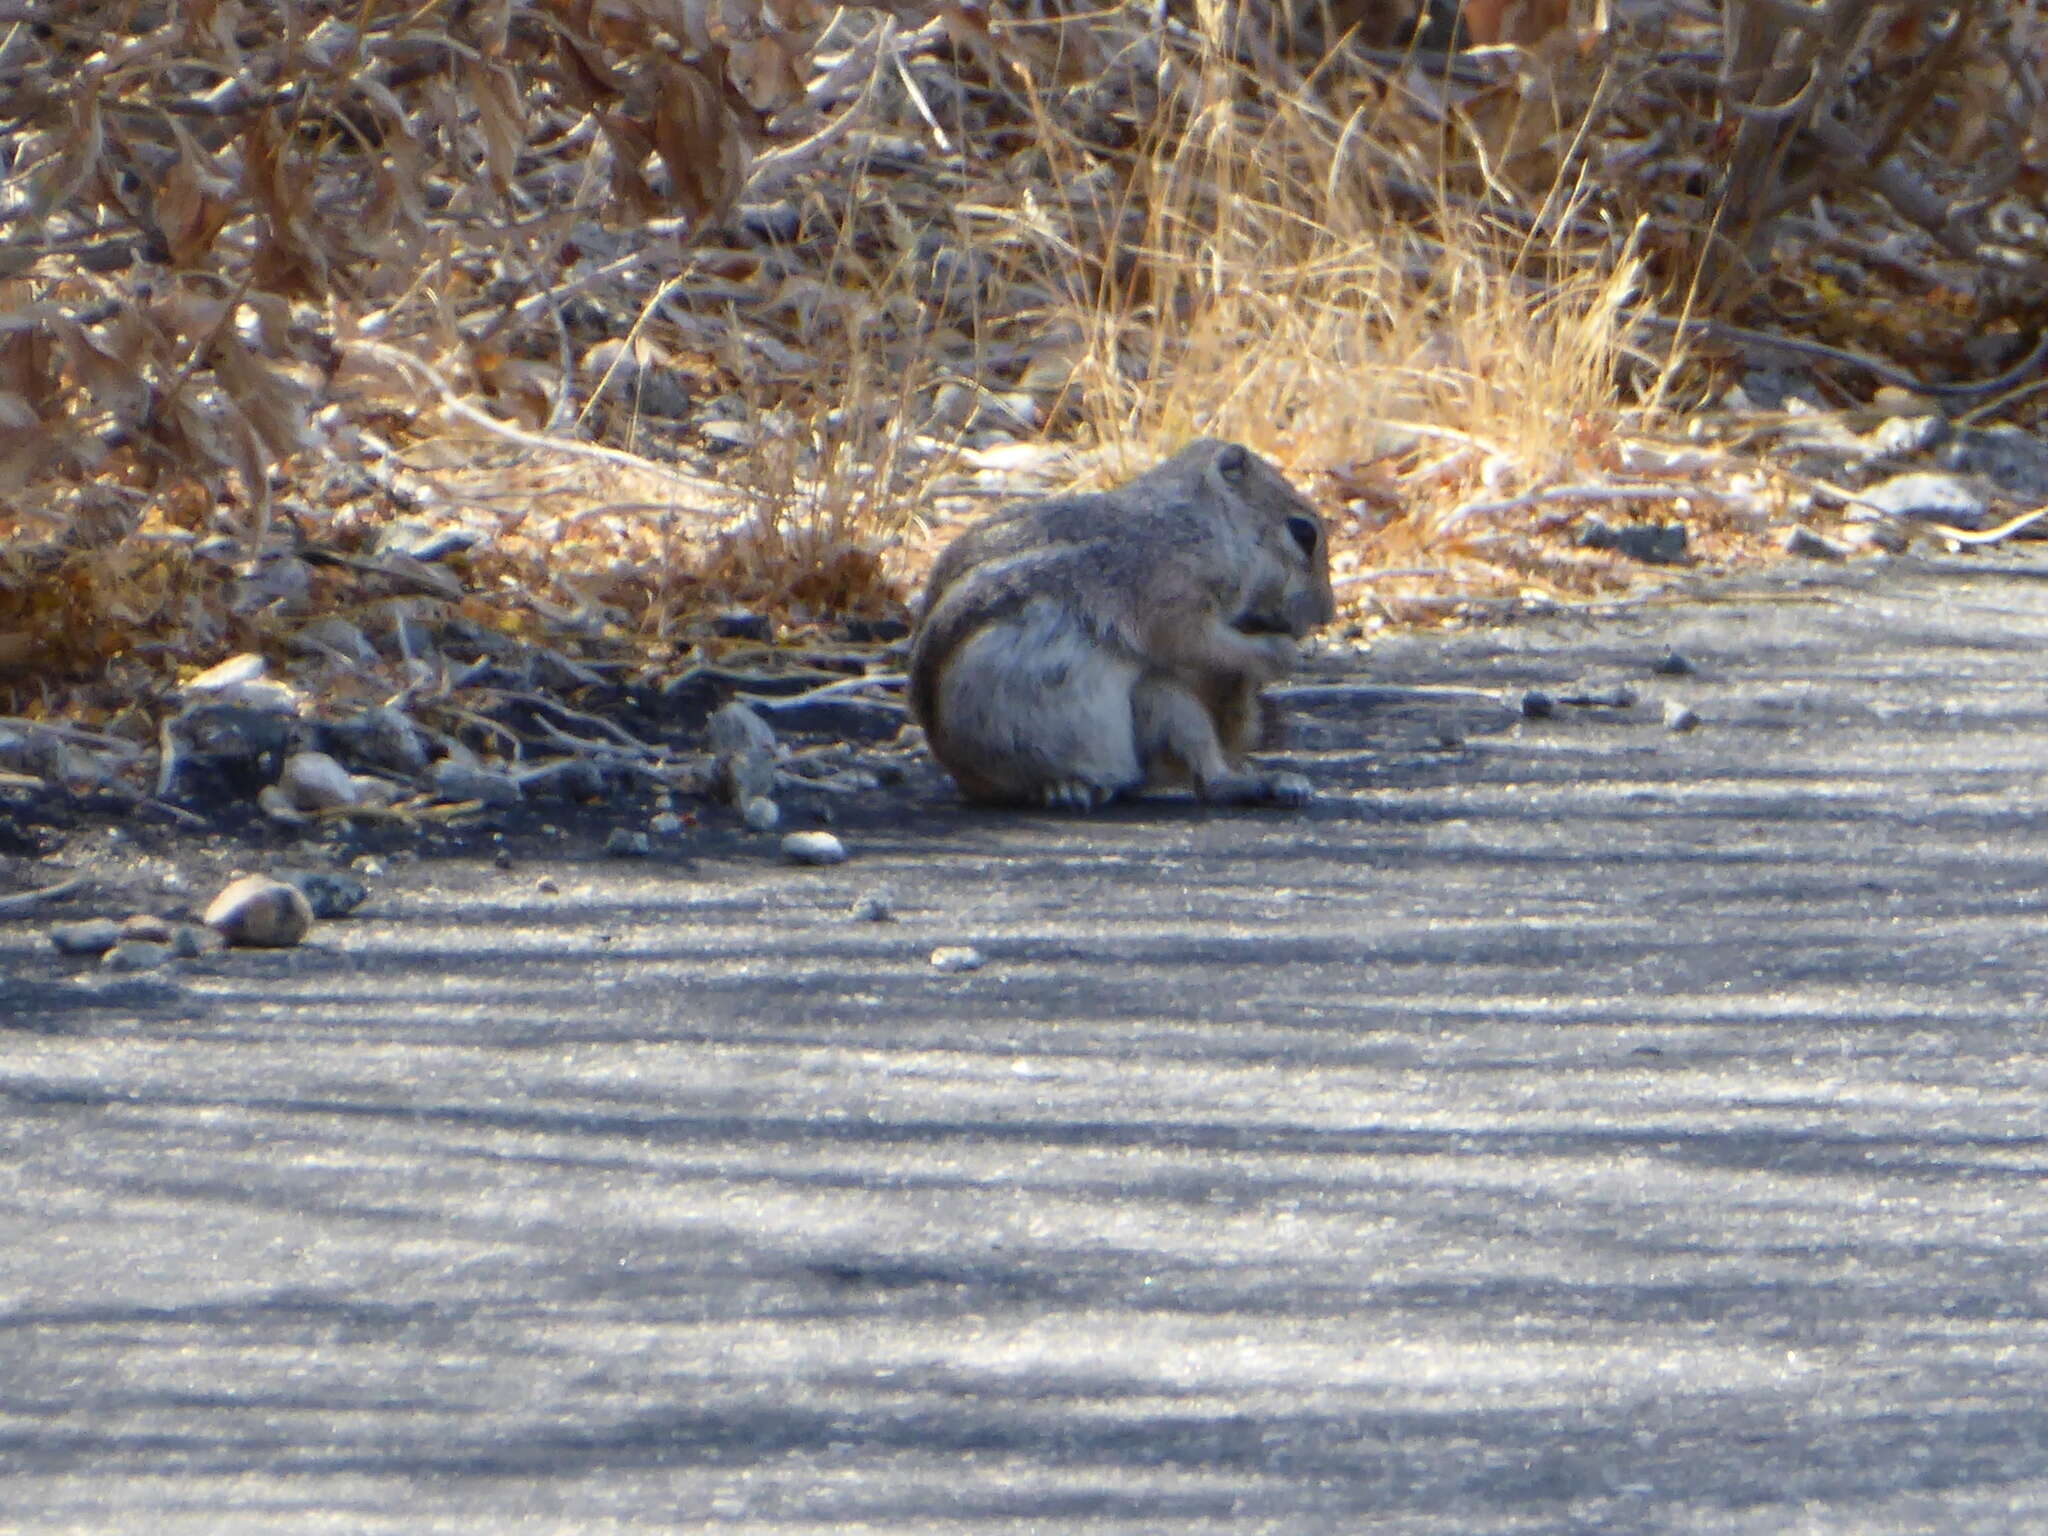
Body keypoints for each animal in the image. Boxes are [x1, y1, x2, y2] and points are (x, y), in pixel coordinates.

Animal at [909, 438, 1327, 811]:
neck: (1198, 524)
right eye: (1304, 533)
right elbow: (1201, 643)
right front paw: (1282, 653)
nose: (1326, 615)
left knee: (1204, 775)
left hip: (1163, 702)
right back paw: (1066, 789)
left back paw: (1273, 784)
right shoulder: (1170, 602)